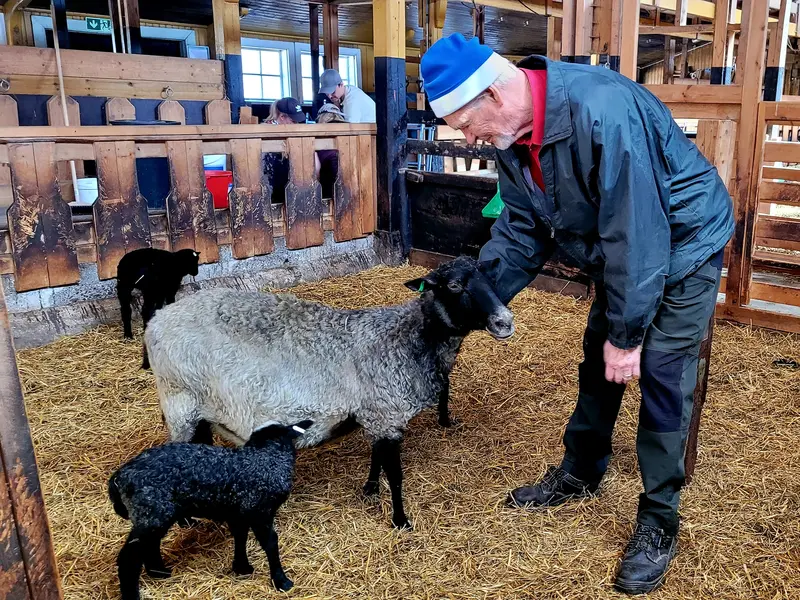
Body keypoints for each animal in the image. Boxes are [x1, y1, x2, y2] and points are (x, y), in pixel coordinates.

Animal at [108, 419, 313, 600]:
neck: (266, 459)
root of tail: (120, 476)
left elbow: (240, 537)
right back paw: (134, 593)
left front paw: (242, 568)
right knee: (129, 558)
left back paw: (160, 572)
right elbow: (270, 543)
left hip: (155, 514)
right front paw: (281, 581)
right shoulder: (260, 512)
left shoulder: (238, 514)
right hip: (151, 511)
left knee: (150, 545)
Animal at [144, 256, 515, 529]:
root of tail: (156, 321)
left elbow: (376, 457)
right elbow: (395, 475)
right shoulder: (386, 414)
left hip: (200, 408)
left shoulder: (375, 413)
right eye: (454, 285)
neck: (409, 338)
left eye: (491, 279)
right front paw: (400, 520)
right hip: (179, 402)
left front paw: (369, 489)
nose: (505, 322)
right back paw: (187, 521)